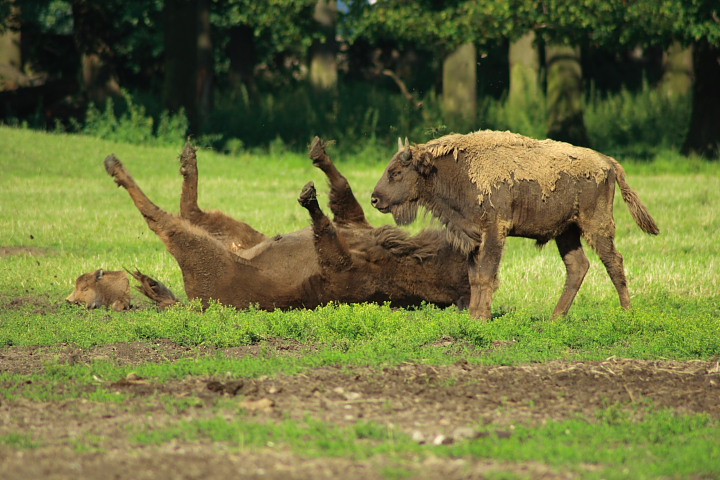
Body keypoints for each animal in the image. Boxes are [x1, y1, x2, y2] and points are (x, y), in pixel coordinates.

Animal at [104, 139, 470, 312]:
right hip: (239, 234)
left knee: (163, 218)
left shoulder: (343, 269)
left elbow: (327, 233)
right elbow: (343, 193)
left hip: (207, 251)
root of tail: (195, 301)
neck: (402, 262)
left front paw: (310, 199)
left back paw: (117, 167)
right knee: (190, 209)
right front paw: (319, 155)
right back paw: (188, 159)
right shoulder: (355, 222)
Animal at [372, 129, 660, 320]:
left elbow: (487, 274)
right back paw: (555, 317)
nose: (375, 199)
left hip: (595, 225)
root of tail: (608, 163)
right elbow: (474, 277)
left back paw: (626, 312)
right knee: (578, 266)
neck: (454, 171)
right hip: (566, 233)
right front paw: (474, 316)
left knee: (613, 261)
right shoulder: (473, 238)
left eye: (395, 172)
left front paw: (481, 317)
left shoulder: (494, 232)